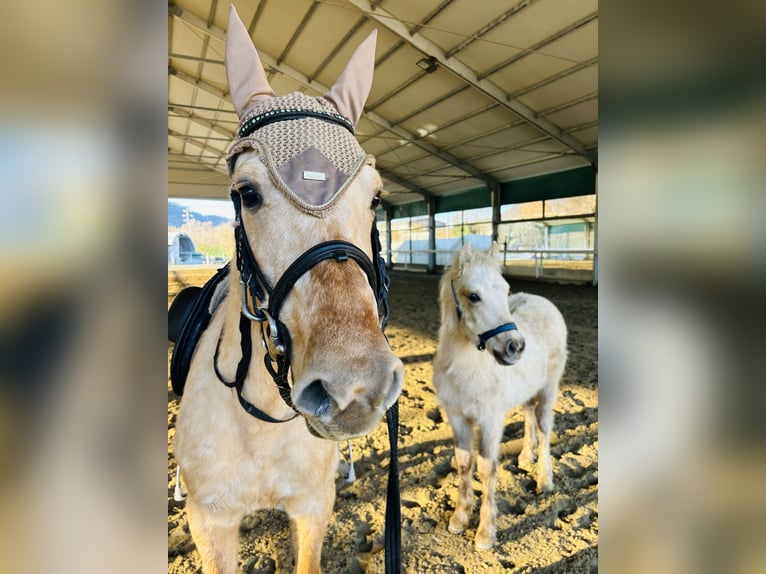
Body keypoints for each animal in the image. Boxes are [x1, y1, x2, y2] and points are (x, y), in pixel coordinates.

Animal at [171, 7, 403, 574]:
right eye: (247, 193)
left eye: (375, 198)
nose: (354, 389)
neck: (264, 423)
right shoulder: (210, 525)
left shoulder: (314, 506)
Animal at [432, 242, 568, 550]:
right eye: (473, 296)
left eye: (505, 290)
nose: (515, 346)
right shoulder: (457, 417)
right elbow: (464, 463)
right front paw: (459, 519)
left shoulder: (490, 420)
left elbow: (486, 468)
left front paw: (485, 533)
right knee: (529, 415)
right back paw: (526, 456)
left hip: (548, 389)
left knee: (544, 428)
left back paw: (544, 479)